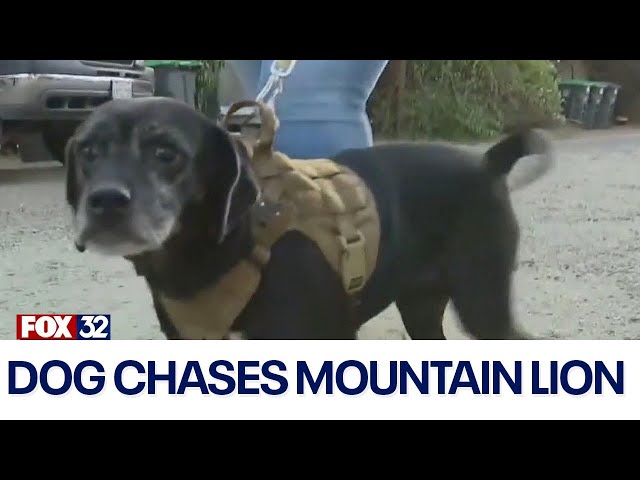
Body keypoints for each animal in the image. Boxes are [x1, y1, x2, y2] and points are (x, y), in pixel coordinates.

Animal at [66, 95, 556, 340]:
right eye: (87, 151)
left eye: (166, 153)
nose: (105, 201)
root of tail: (487, 163)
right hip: (421, 308)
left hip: (482, 305)